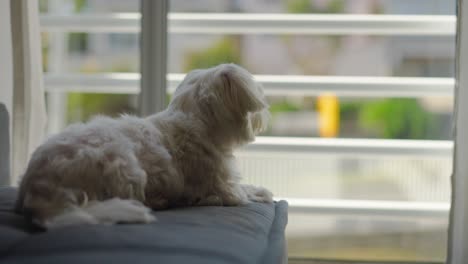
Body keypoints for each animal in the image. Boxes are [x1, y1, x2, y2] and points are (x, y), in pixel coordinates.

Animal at [14, 64, 272, 229]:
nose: (262, 118)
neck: (195, 120)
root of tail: (38, 191)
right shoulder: (224, 189)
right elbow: (243, 190)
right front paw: (261, 192)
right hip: (124, 164)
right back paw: (159, 201)